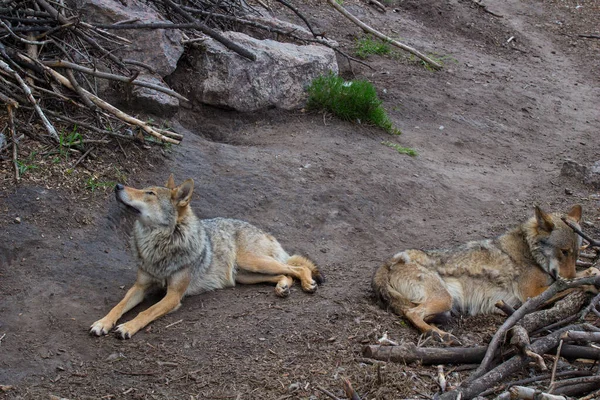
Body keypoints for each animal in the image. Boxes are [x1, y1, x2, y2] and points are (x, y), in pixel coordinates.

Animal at [90, 174, 324, 338]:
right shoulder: (140, 287)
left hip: (255, 264)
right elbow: (119, 306)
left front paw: (127, 327)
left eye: (150, 193)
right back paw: (282, 288)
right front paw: (102, 323)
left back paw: (308, 284)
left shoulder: (173, 295)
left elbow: (145, 312)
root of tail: (264, 231)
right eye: (144, 189)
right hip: (245, 276)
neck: (158, 246)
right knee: (286, 274)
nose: (117, 186)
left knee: (297, 268)